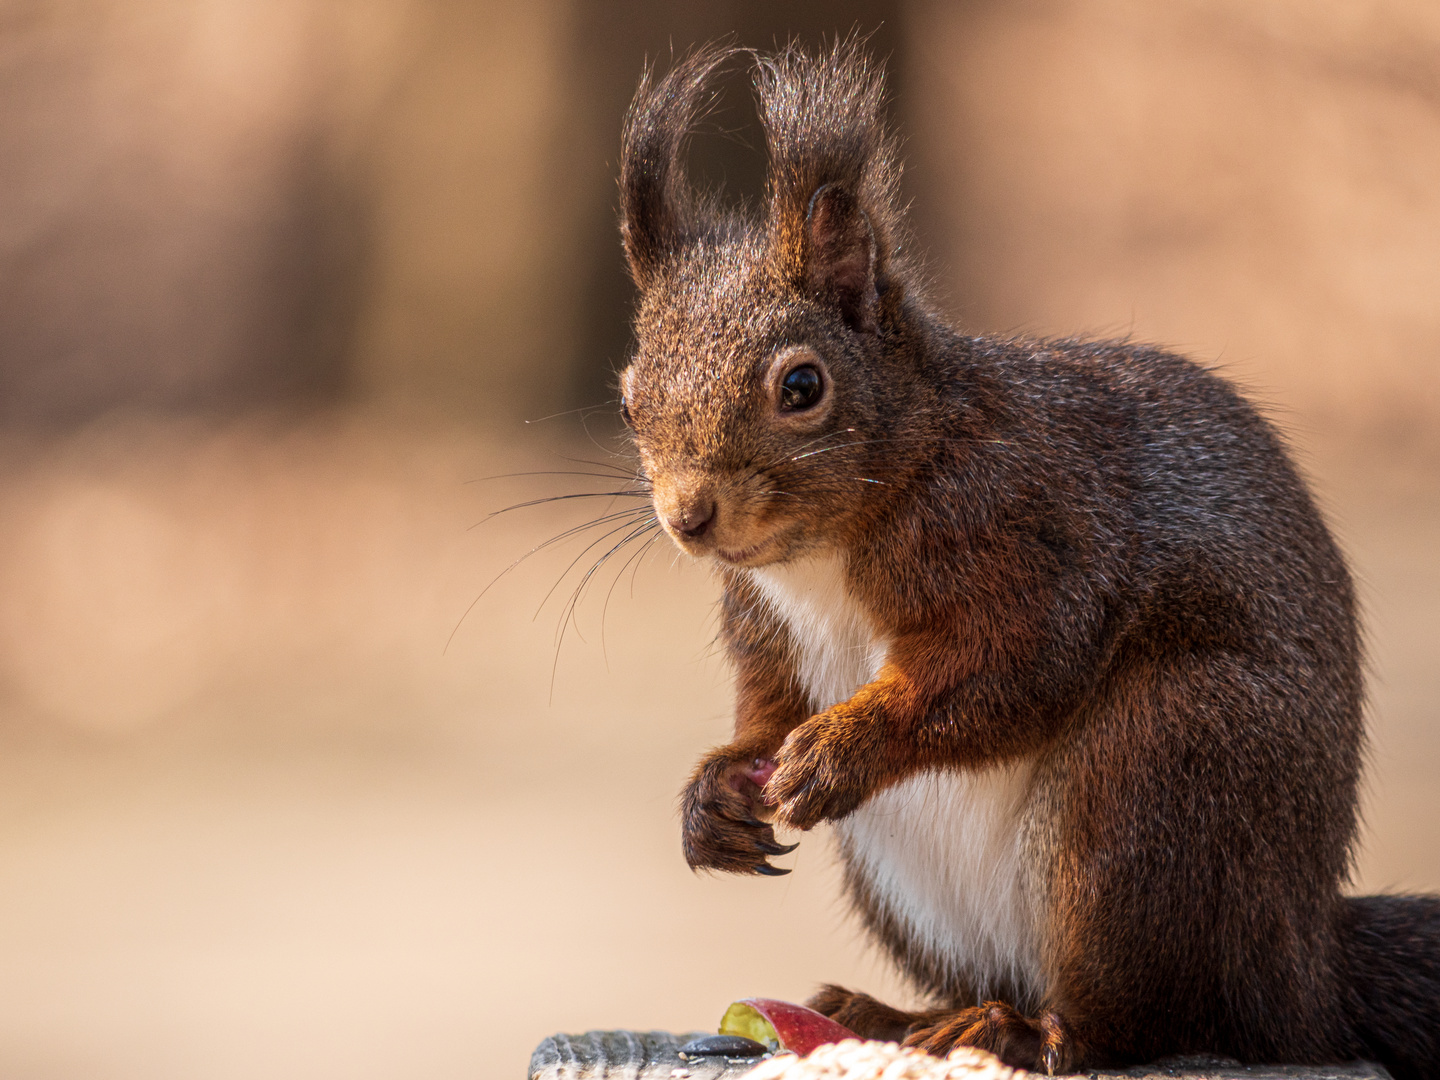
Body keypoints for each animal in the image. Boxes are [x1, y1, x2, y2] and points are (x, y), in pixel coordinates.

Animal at [610, 40, 1440, 1077]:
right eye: (629, 396)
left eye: (802, 386)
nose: (689, 517)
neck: (824, 552)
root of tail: (1304, 974)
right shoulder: (762, 618)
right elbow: (768, 708)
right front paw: (717, 791)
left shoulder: (1027, 532)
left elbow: (1012, 668)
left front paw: (842, 748)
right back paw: (901, 1016)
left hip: (1163, 777)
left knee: (1143, 1020)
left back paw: (1022, 1031)